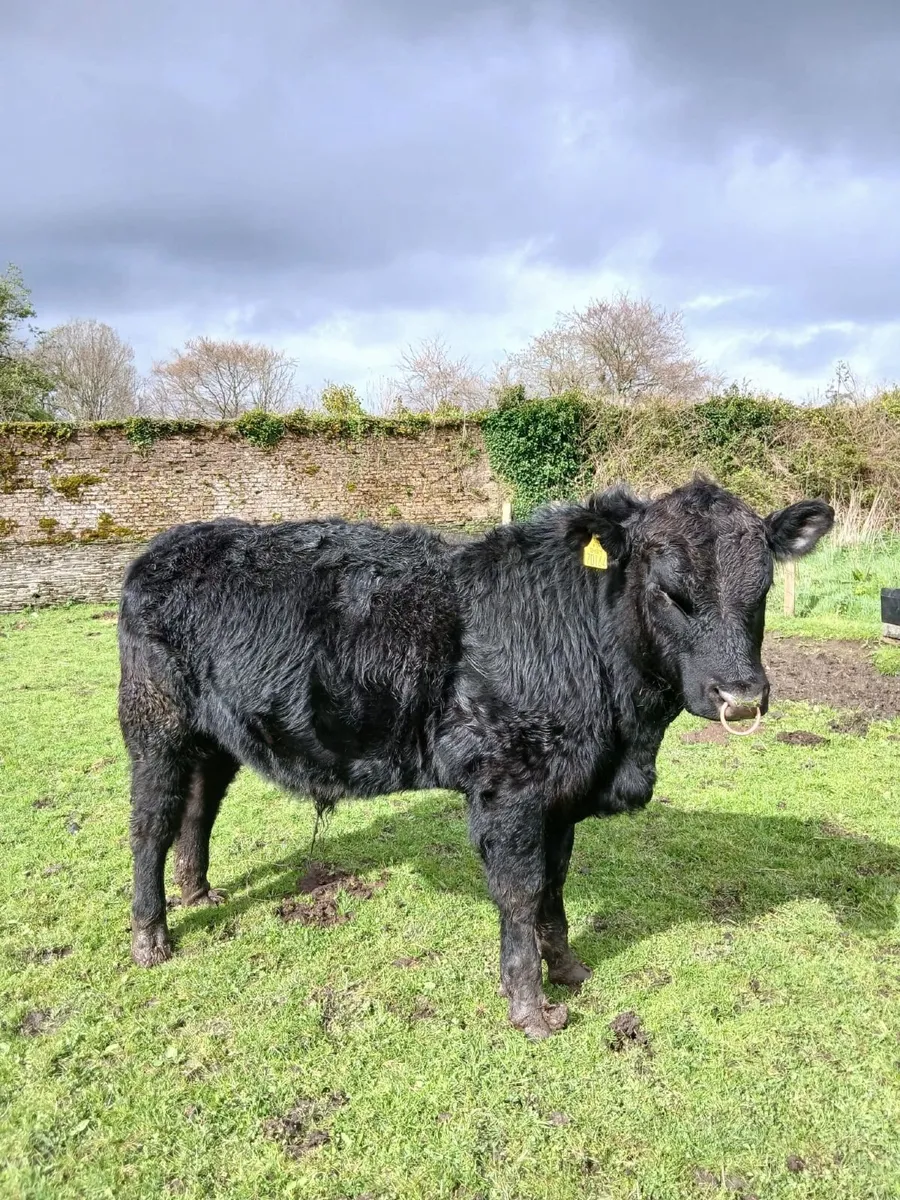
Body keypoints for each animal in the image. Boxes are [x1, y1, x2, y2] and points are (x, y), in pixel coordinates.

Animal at [118, 478, 833, 1038]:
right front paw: (531, 1009)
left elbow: (553, 885)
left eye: (763, 586)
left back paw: (199, 892)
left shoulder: (561, 793)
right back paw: (152, 937)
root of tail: (164, 546)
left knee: (199, 807)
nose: (741, 695)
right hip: (153, 724)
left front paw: (567, 970)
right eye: (668, 590)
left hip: (216, 734)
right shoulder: (508, 785)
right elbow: (520, 891)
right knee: (152, 823)